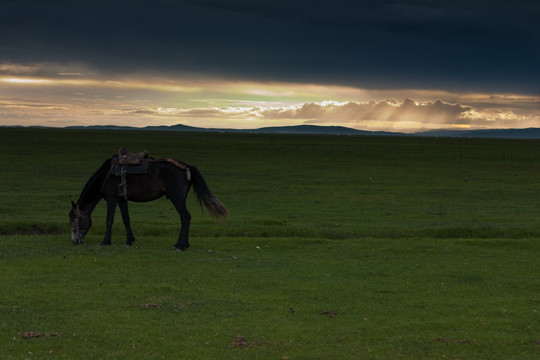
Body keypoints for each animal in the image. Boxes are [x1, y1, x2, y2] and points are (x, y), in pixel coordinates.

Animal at [68, 154, 228, 250]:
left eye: (75, 218)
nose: (74, 240)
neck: (106, 175)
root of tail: (186, 167)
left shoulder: (112, 199)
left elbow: (109, 219)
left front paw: (105, 241)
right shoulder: (121, 199)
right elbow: (126, 219)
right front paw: (129, 240)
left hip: (177, 198)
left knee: (185, 217)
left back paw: (181, 245)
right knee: (185, 218)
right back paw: (181, 244)